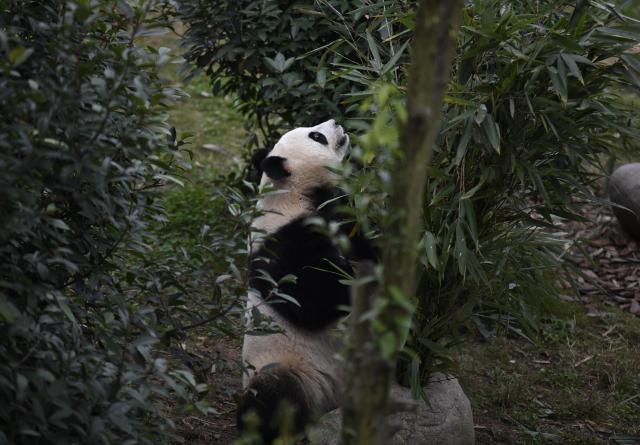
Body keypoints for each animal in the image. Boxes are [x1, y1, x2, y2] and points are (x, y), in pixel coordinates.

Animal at [237, 119, 374, 442]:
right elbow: (310, 305)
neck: (295, 191)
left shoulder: (343, 220)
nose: (337, 122)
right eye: (316, 136)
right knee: (272, 396)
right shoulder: (284, 244)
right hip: (288, 368)